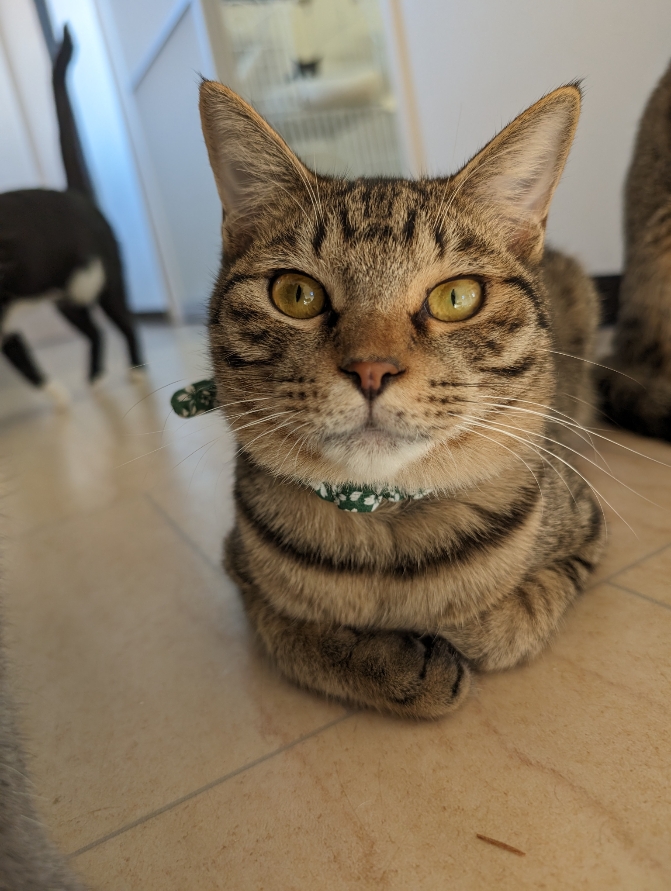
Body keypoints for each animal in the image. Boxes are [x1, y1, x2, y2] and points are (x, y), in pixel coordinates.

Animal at [199, 79, 606, 719]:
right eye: (295, 294)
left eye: (457, 297)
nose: (372, 369)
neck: (384, 521)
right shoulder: (238, 568)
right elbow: (293, 635)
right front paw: (396, 663)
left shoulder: (588, 535)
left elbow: (516, 617)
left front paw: (464, 624)